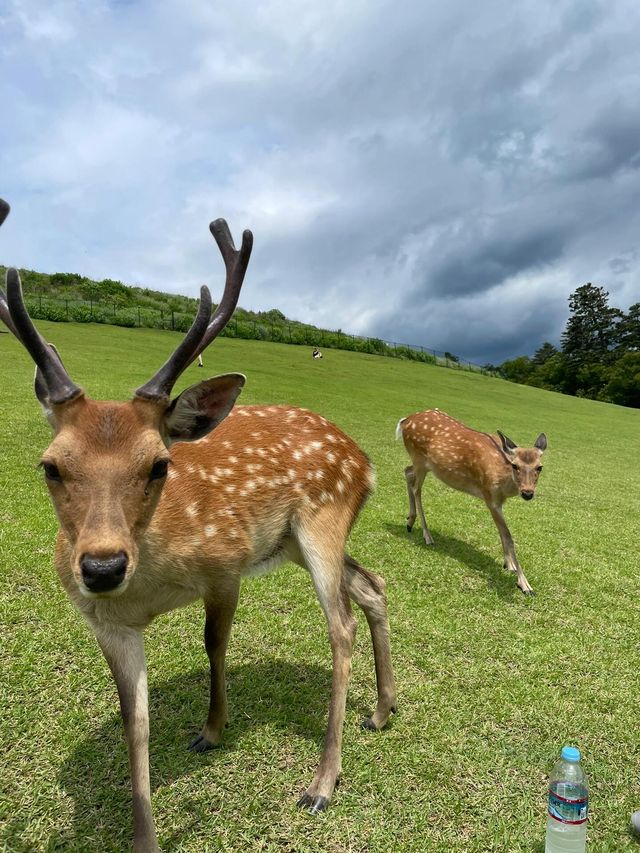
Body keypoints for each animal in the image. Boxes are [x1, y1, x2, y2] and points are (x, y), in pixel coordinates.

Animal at [0, 196, 398, 848]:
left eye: (159, 463)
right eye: (51, 465)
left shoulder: (226, 564)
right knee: (372, 584)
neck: (151, 583)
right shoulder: (106, 624)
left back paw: (321, 782)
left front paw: (212, 731)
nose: (102, 567)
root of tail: (365, 461)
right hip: (297, 541)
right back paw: (383, 709)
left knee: (339, 626)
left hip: (323, 520)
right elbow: (133, 719)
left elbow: (215, 644)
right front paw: (144, 835)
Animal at [398, 410, 548, 596]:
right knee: (416, 489)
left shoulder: (499, 501)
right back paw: (427, 535)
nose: (527, 493)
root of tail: (405, 421)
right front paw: (525, 585)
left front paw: (509, 565)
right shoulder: (490, 496)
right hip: (419, 459)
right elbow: (508, 536)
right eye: (515, 465)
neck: (503, 480)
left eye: (539, 467)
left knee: (407, 472)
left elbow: (502, 533)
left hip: (419, 463)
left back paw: (410, 522)